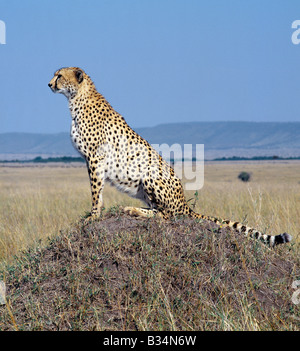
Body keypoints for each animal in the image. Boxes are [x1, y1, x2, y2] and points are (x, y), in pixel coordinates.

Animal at [48, 66, 292, 248]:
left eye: (59, 75)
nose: (49, 84)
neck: (77, 98)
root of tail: (185, 203)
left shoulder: (95, 159)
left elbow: (96, 192)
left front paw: (93, 216)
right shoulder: (92, 160)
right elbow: (97, 192)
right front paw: (93, 215)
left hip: (150, 175)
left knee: (167, 215)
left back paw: (133, 210)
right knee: (159, 210)